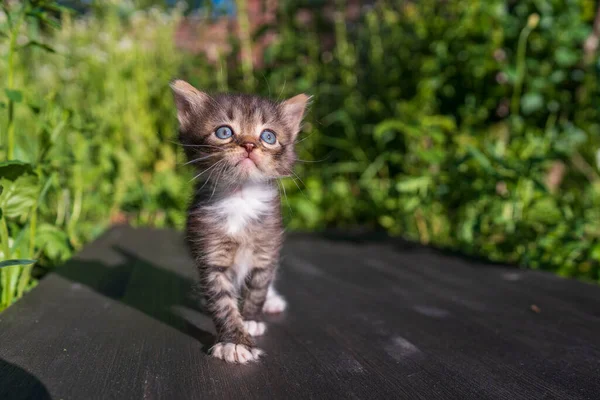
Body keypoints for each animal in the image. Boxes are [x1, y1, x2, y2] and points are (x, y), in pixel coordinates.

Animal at [170, 79, 308, 364]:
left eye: (268, 137)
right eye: (224, 132)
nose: (249, 145)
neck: (241, 197)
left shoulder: (267, 246)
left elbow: (258, 287)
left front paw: (251, 318)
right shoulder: (211, 254)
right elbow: (222, 302)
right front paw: (234, 341)